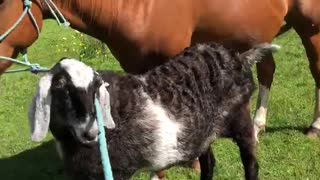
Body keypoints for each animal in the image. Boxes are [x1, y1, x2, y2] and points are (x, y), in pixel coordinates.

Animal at [28, 42, 278, 180]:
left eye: (95, 88)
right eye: (61, 88)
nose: (90, 133)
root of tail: (240, 57)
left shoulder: (117, 171)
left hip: (240, 117)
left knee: (251, 163)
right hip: (202, 133)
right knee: (208, 163)